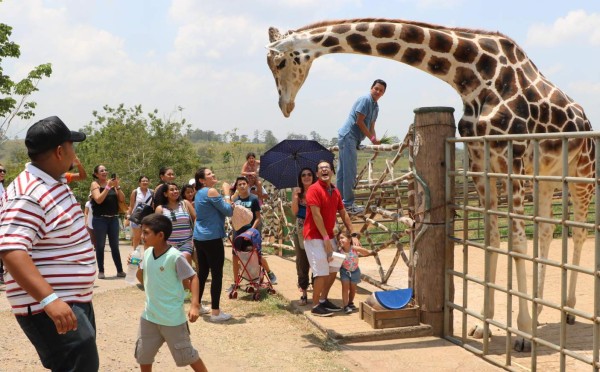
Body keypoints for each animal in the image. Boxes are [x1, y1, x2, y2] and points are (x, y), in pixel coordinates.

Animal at [268, 18, 596, 352]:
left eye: (279, 62)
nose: (284, 106)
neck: (473, 77)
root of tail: (585, 120)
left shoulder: (512, 156)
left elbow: (516, 242)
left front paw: (522, 335)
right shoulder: (480, 162)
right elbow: (494, 240)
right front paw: (484, 325)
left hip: (582, 173)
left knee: (580, 229)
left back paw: (568, 310)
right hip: (547, 175)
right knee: (546, 229)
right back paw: (542, 309)